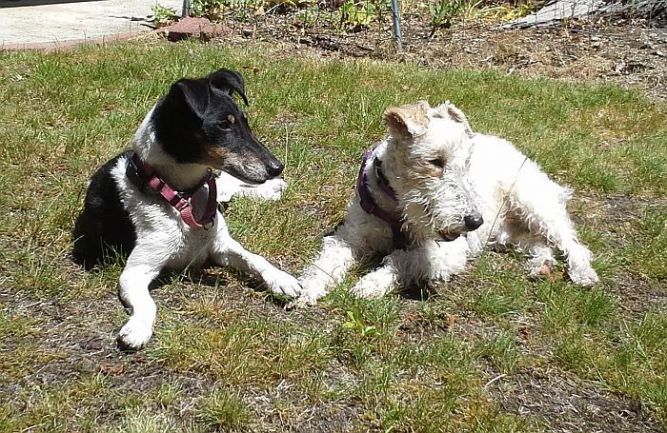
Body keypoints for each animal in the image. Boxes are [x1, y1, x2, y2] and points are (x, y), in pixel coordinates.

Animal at [72, 68, 300, 352]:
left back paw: (271, 188)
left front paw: (281, 279)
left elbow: (255, 258)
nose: (277, 167)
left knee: (225, 185)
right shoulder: (135, 271)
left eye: (245, 122)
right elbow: (148, 303)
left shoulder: (221, 245)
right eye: (223, 125)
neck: (183, 197)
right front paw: (137, 328)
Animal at [298, 101, 600, 304]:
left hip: (535, 204)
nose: (474, 221)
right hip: (509, 233)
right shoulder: (350, 237)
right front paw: (308, 289)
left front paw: (369, 284)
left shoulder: (449, 252)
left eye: (466, 162)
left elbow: (402, 258)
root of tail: (508, 144)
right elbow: (329, 259)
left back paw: (583, 274)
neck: (397, 209)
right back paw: (540, 267)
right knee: (541, 244)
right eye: (435, 161)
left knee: (572, 244)